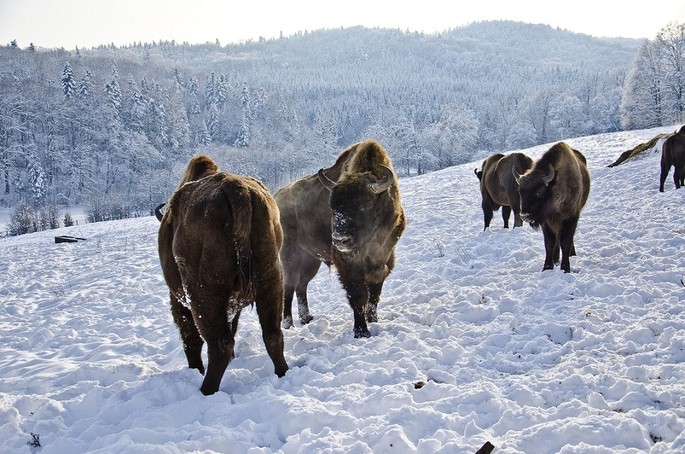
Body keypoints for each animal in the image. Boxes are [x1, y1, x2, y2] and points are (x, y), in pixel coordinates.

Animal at [157, 155, 286, 394]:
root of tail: (236, 189)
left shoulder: (178, 300)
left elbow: (190, 338)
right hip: (271, 279)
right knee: (272, 334)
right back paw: (282, 372)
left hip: (203, 296)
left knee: (219, 344)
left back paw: (205, 390)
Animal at [274, 140, 404, 338]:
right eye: (332, 205)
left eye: (366, 204)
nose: (339, 239)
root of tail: (276, 198)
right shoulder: (348, 264)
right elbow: (358, 295)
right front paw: (361, 331)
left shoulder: (385, 258)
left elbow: (375, 292)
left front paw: (373, 320)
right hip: (290, 256)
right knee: (288, 286)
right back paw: (288, 323)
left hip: (311, 260)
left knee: (301, 285)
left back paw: (306, 317)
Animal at [516, 142, 592, 274]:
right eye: (520, 191)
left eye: (539, 192)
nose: (524, 216)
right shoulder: (546, 222)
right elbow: (549, 244)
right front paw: (547, 267)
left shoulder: (571, 218)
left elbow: (565, 242)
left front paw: (565, 268)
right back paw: (556, 259)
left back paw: (571, 255)